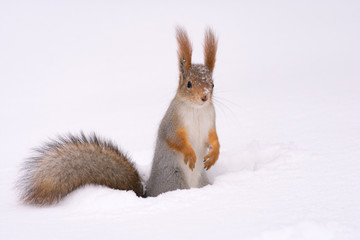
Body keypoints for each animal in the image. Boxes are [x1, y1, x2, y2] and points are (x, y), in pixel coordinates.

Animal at [16, 27, 221, 205]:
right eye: (189, 84)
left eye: (212, 84)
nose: (204, 97)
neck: (197, 110)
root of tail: (149, 194)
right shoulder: (172, 121)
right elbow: (173, 139)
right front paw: (190, 154)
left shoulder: (210, 119)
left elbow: (214, 138)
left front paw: (214, 155)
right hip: (174, 178)